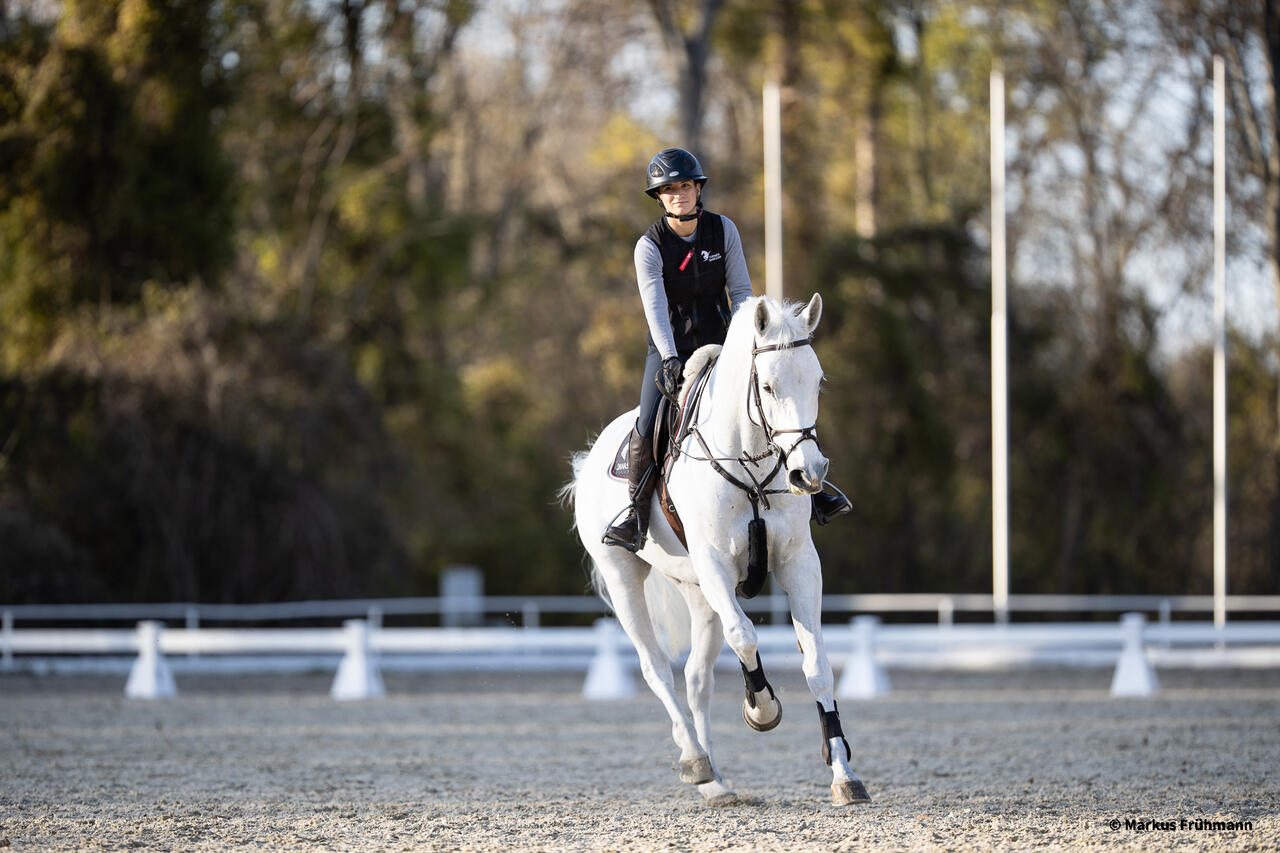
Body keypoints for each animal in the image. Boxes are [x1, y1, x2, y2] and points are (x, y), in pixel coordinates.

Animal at [561, 293, 871, 806]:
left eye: (818, 380)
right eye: (767, 386)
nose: (809, 474)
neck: (751, 468)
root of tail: (590, 458)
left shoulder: (799, 565)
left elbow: (817, 665)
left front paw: (844, 775)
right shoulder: (715, 565)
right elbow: (745, 636)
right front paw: (762, 709)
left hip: (698, 592)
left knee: (696, 678)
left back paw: (717, 784)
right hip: (626, 578)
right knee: (657, 669)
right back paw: (697, 762)